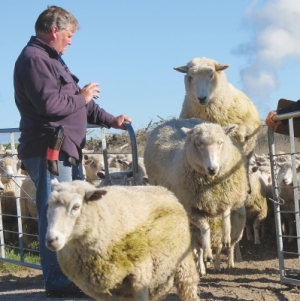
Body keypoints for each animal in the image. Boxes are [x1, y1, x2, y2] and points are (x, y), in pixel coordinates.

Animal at [45, 179, 200, 298]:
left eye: (76, 206)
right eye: (48, 206)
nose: (51, 239)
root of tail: (164, 190)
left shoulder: (140, 278)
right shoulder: (104, 292)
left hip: (183, 265)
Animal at [143, 117, 248, 262]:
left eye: (221, 142)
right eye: (198, 144)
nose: (212, 169)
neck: (211, 183)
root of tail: (171, 121)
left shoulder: (226, 196)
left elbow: (226, 213)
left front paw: (226, 237)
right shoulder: (190, 209)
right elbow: (205, 227)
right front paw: (207, 252)